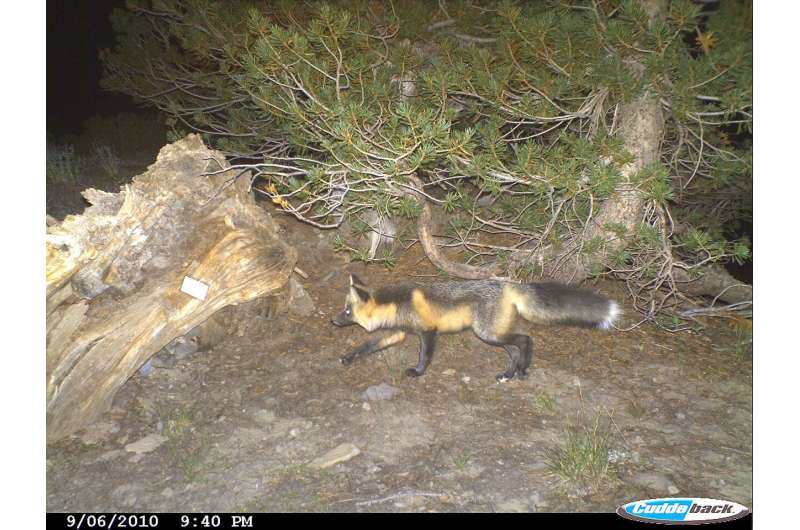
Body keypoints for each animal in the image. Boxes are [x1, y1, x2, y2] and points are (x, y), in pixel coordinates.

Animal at [332, 273, 620, 382]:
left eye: (346, 311)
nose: (333, 321)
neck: (396, 303)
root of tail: (508, 283)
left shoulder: (428, 331)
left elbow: (425, 355)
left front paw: (418, 372)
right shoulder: (395, 332)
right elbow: (366, 347)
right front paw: (347, 357)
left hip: (487, 333)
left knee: (526, 339)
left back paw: (522, 370)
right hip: (492, 335)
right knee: (515, 348)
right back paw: (509, 374)